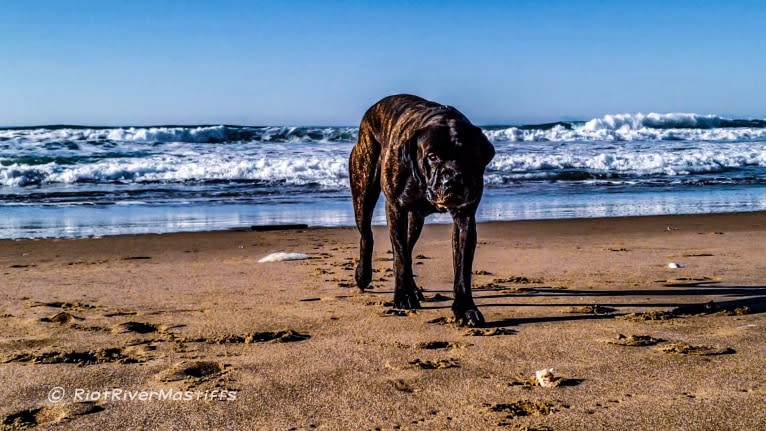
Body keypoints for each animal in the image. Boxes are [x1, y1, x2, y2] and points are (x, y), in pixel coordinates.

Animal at [350, 93, 496, 324]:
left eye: (467, 155)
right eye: (432, 156)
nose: (452, 181)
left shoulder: (464, 216)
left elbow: (462, 266)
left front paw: (465, 308)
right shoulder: (396, 209)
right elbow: (400, 257)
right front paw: (403, 297)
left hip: (416, 220)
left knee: (409, 247)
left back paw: (414, 289)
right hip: (363, 189)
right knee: (367, 235)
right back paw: (363, 275)